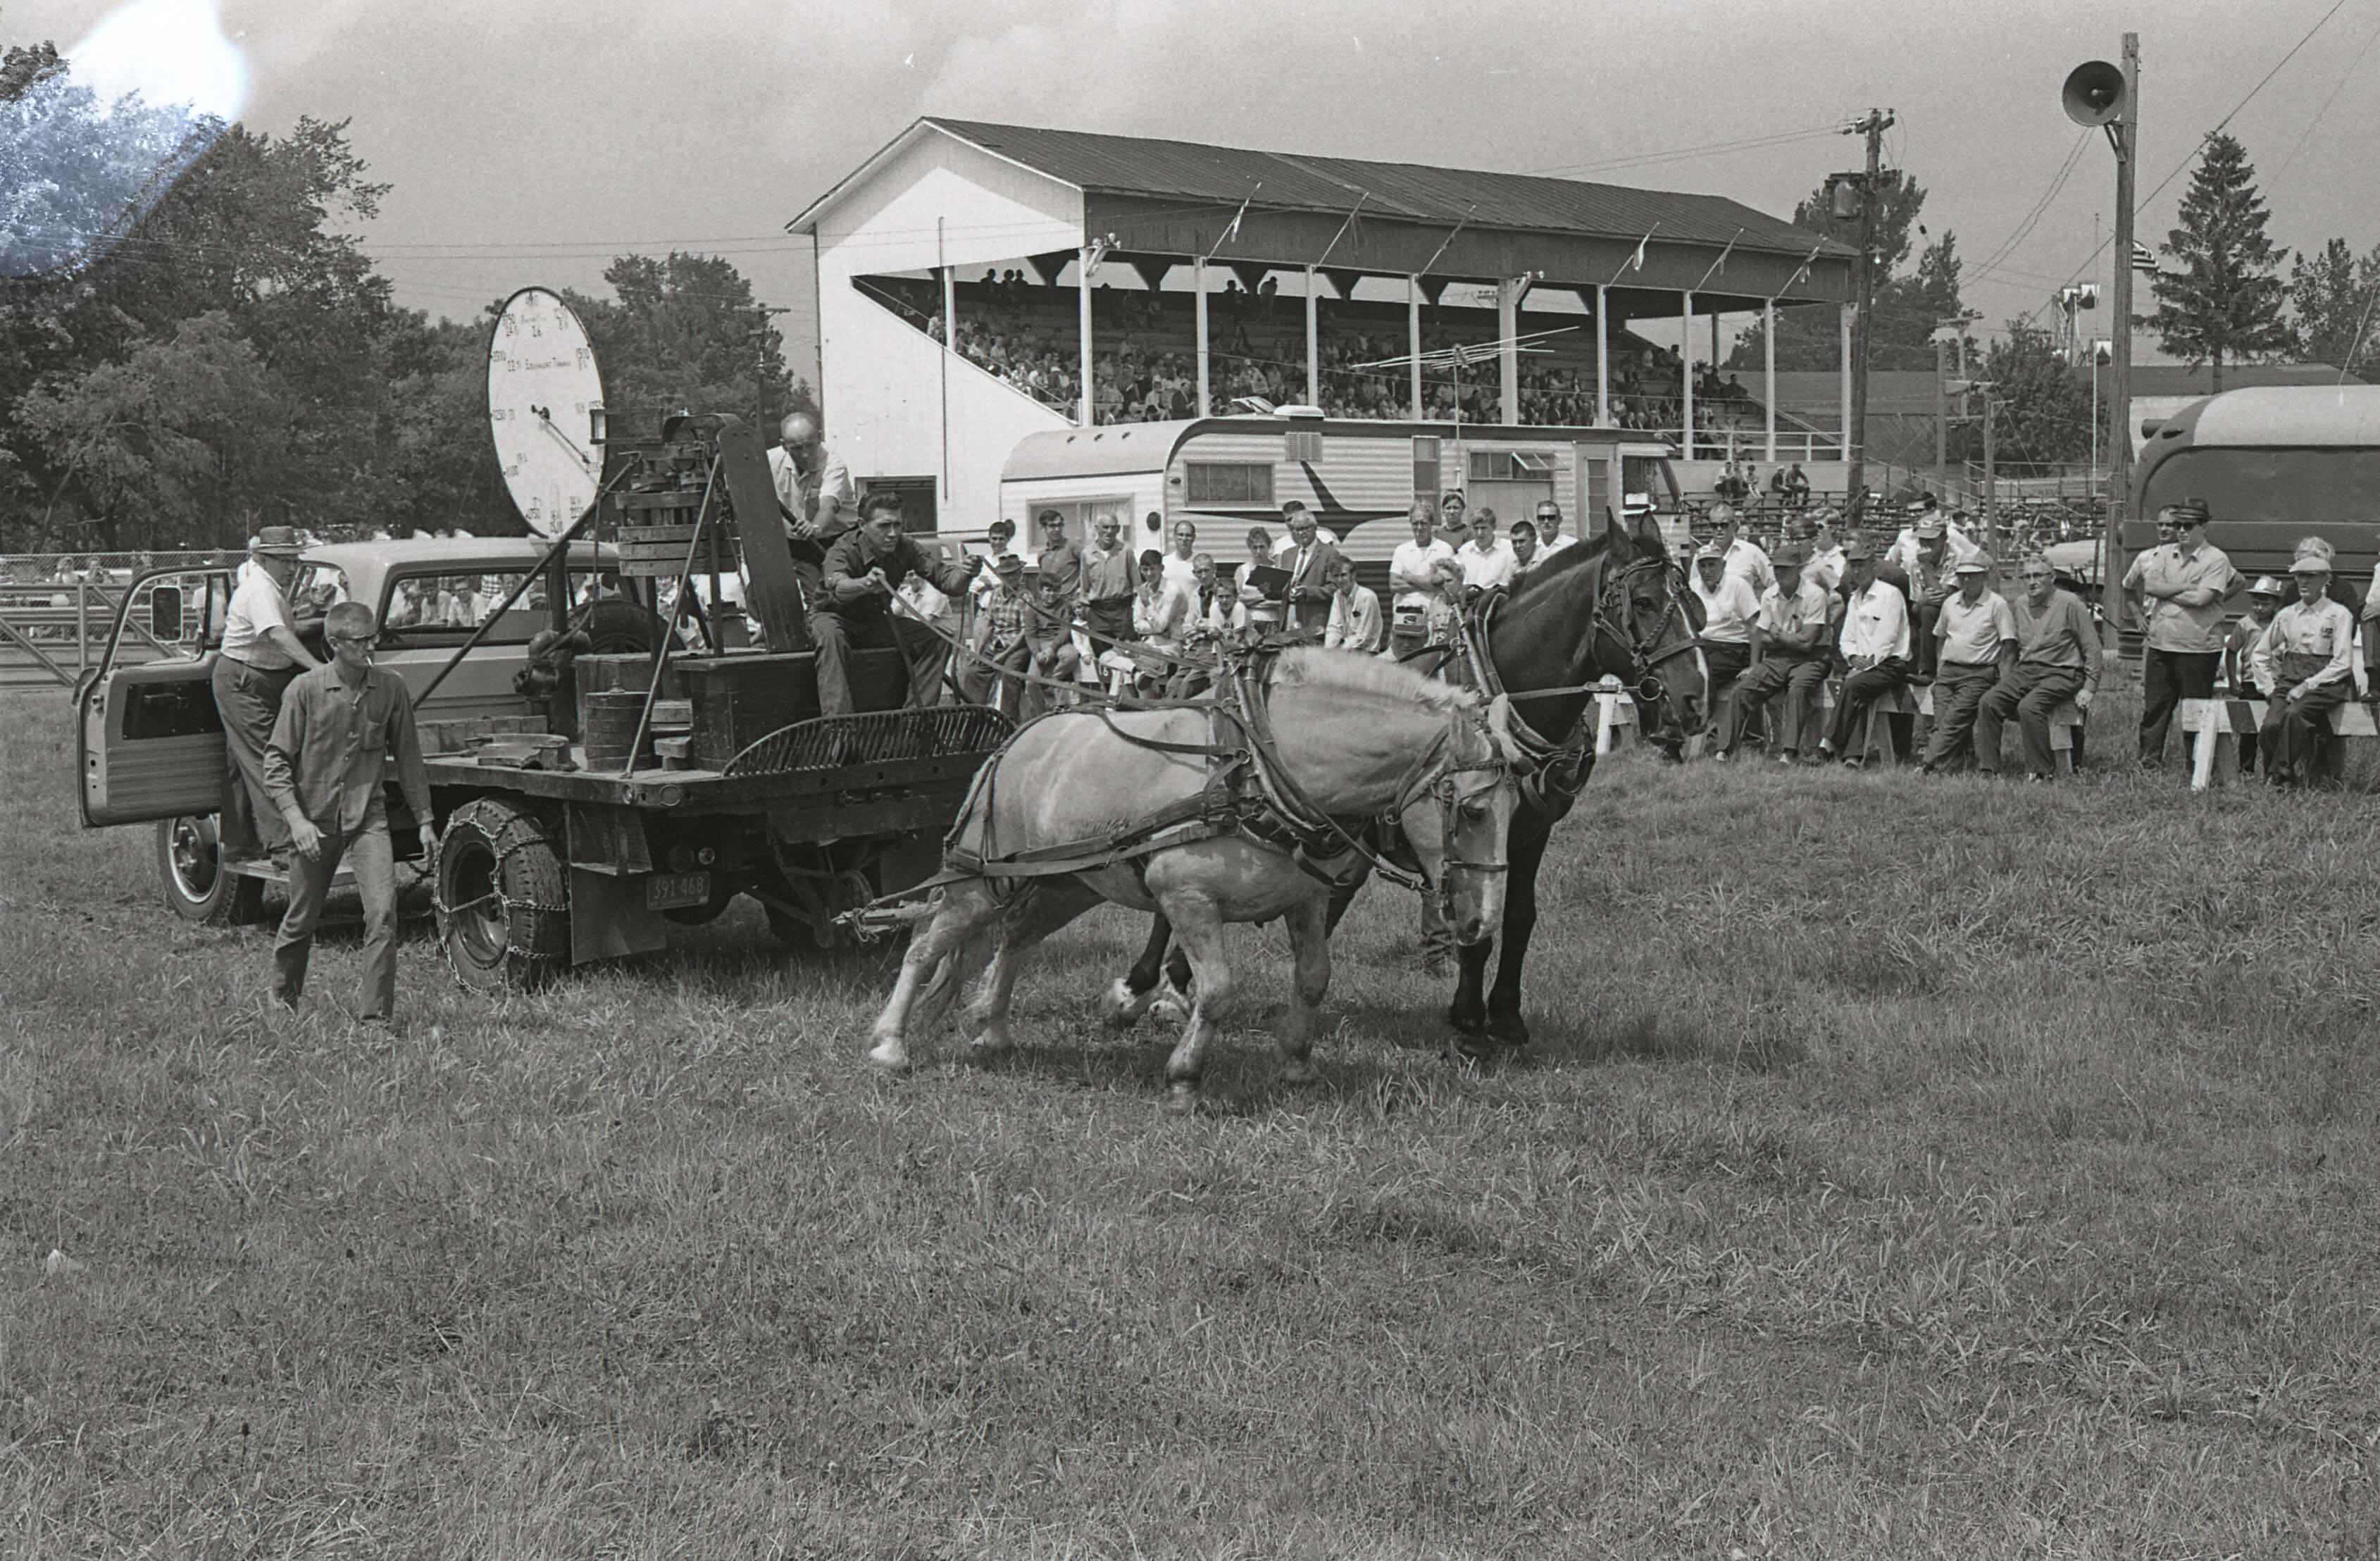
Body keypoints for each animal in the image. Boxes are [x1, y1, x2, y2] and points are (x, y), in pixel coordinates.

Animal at [864, 649, 1523, 1111]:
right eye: (1472, 810)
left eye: (1518, 805)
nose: (1481, 921)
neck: (1261, 769)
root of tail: (1014, 742)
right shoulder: (1187, 900)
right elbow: (1218, 990)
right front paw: (1184, 1079)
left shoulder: (1309, 898)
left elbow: (1314, 979)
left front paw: (1298, 1063)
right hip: (979, 880)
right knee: (926, 946)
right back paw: (891, 1044)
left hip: (1066, 883)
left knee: (1014, 940)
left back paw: (994, 1030)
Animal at [1114, 511, 1707, 1051]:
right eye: (1644, 602)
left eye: (1696, 605)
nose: (1693, 700)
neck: (1505, 692)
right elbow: (1469, 913)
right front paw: (1468, 1018)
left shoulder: (1529, 831)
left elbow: (1517, 916)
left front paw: (1506, 1016)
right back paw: (1148, 985)